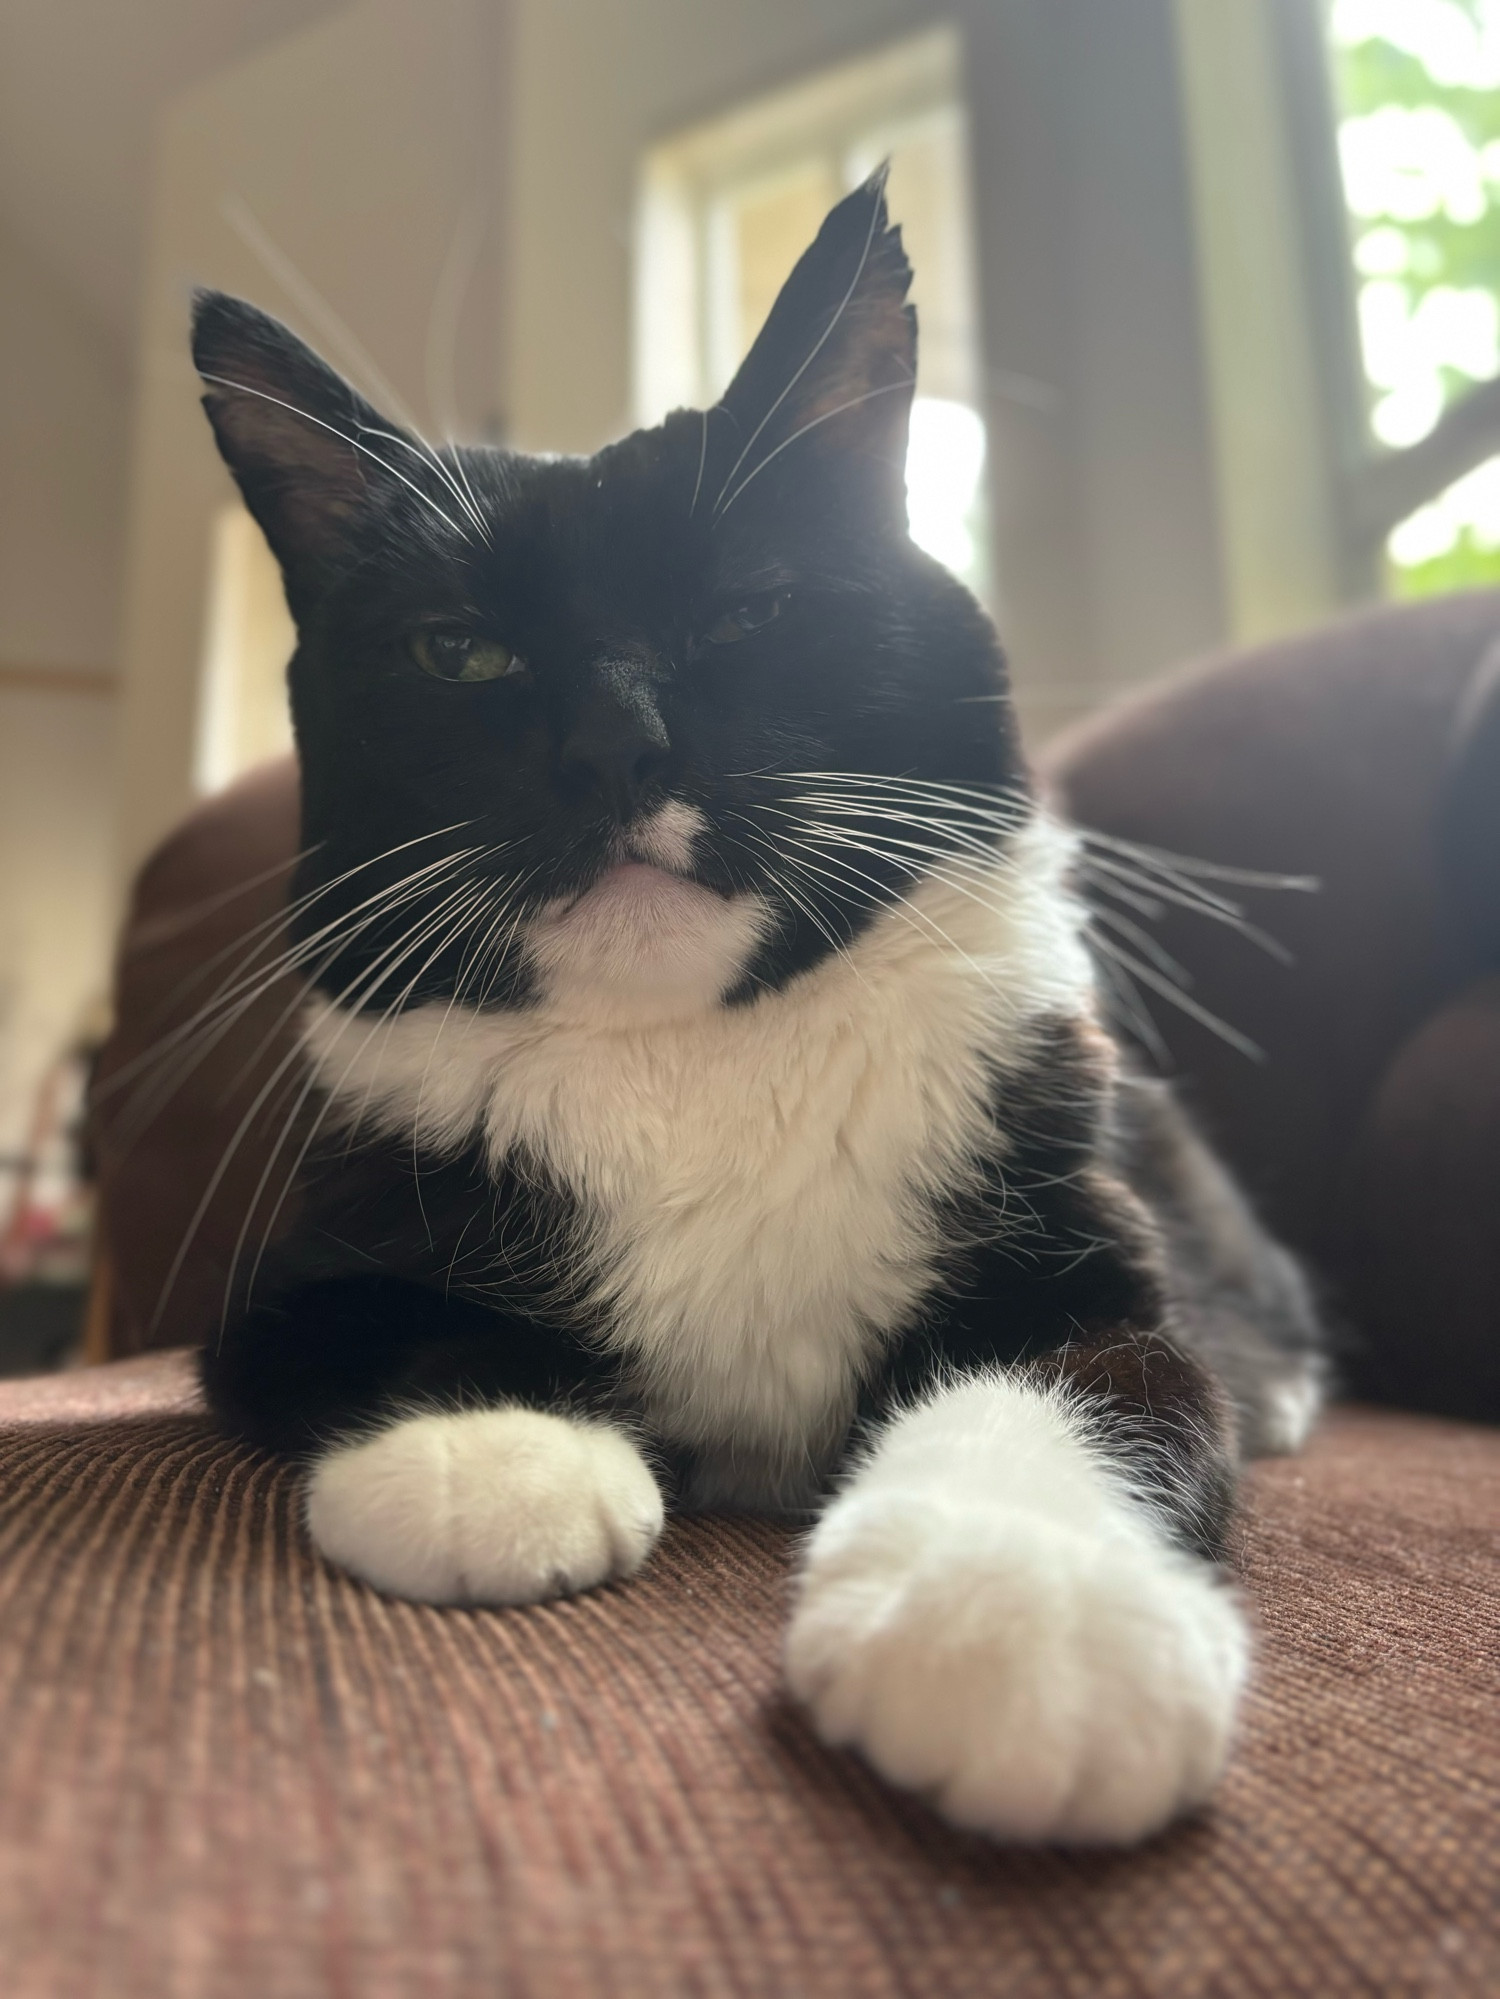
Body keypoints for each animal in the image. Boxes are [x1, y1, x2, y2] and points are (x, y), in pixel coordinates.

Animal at [191, 179, 1328, 1847]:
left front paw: (1020, 1618)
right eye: (461, 649)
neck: (694, 1058)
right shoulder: (296, 1262)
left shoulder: (1083, 1240)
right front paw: (485, 1449)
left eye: (749, 610)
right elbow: (371, 1326)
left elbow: (1097, 1376)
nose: (614, 745)